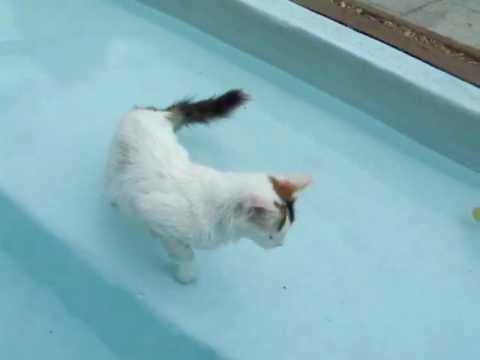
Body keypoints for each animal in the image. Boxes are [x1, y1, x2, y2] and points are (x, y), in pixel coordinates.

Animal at [106, 90, 312, 284]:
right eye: (272, 235)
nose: (280, 245)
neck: (219, 212)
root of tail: (159, 113)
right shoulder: (149, 209)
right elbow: (184, 250)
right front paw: (186, 273)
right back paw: (114, 199)